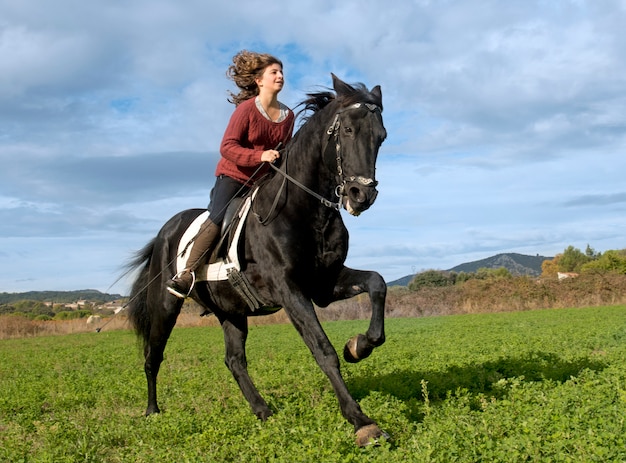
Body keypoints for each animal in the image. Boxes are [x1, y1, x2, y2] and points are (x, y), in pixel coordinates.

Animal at [125, 75, 388, 446]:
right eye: (348, 130)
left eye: (381, 136)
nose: (361, 195)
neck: (305, 211)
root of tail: (165, 230)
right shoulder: (290, 290)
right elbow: (322, 349)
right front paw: (361, 421)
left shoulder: (325, 283)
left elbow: (377, 284)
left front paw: (359, 346)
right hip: (165, 304)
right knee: (153, 355)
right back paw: (152, 411)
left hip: (230, 311)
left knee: (234, 360)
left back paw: (262, 410)